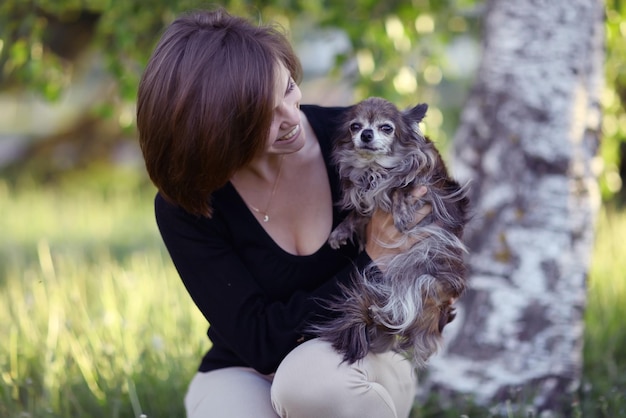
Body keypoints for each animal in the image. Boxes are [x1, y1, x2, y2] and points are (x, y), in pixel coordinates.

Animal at [312, 96, 468, 368]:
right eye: (355, 126)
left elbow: (400, 186)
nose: (366, 134)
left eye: (386, 128)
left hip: (427, 278)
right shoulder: (363, 191)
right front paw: (341, 230)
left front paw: (401, 209)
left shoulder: (427, 184)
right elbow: (360, 210)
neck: (374, 167)